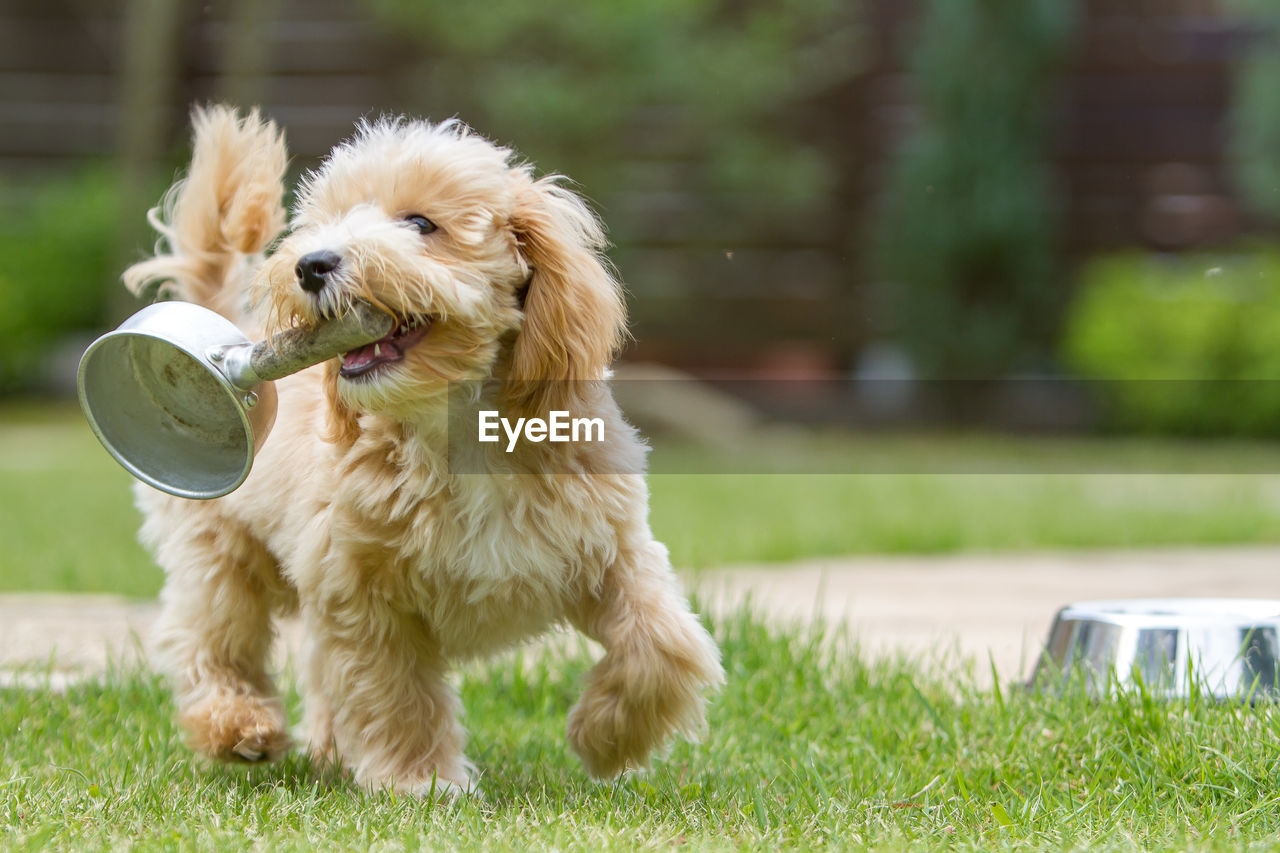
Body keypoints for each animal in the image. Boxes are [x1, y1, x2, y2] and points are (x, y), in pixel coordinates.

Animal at [123, 104, 727, 788]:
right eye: (326, 222)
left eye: (420, 224)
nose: (310, 265)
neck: (459, 426)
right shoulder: (361, 589)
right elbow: (394, 690)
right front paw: (421, 780)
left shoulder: (612, 551)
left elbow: (664, 643)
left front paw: (608, 739)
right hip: (220, 549)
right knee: (211, 635)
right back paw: (236, 723)